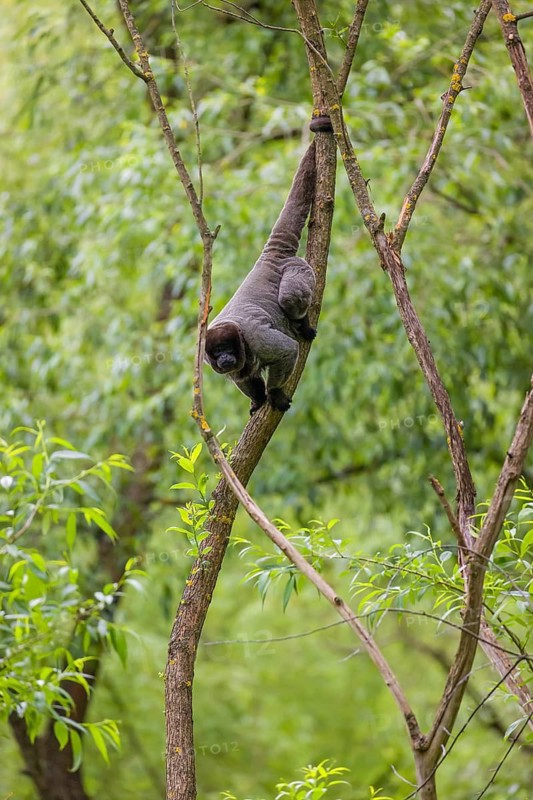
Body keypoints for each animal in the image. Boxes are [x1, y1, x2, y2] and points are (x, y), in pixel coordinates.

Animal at [206, 116, 332, 414]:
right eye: (217, 353)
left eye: (228, 348)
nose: (225, 358)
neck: (239, 339)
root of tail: (270, 257)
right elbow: (242, 377)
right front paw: (257, 398)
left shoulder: (256, 338)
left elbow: (286, 350)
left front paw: (274, 394)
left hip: (297, 267)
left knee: (289, 298)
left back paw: (301, 323)